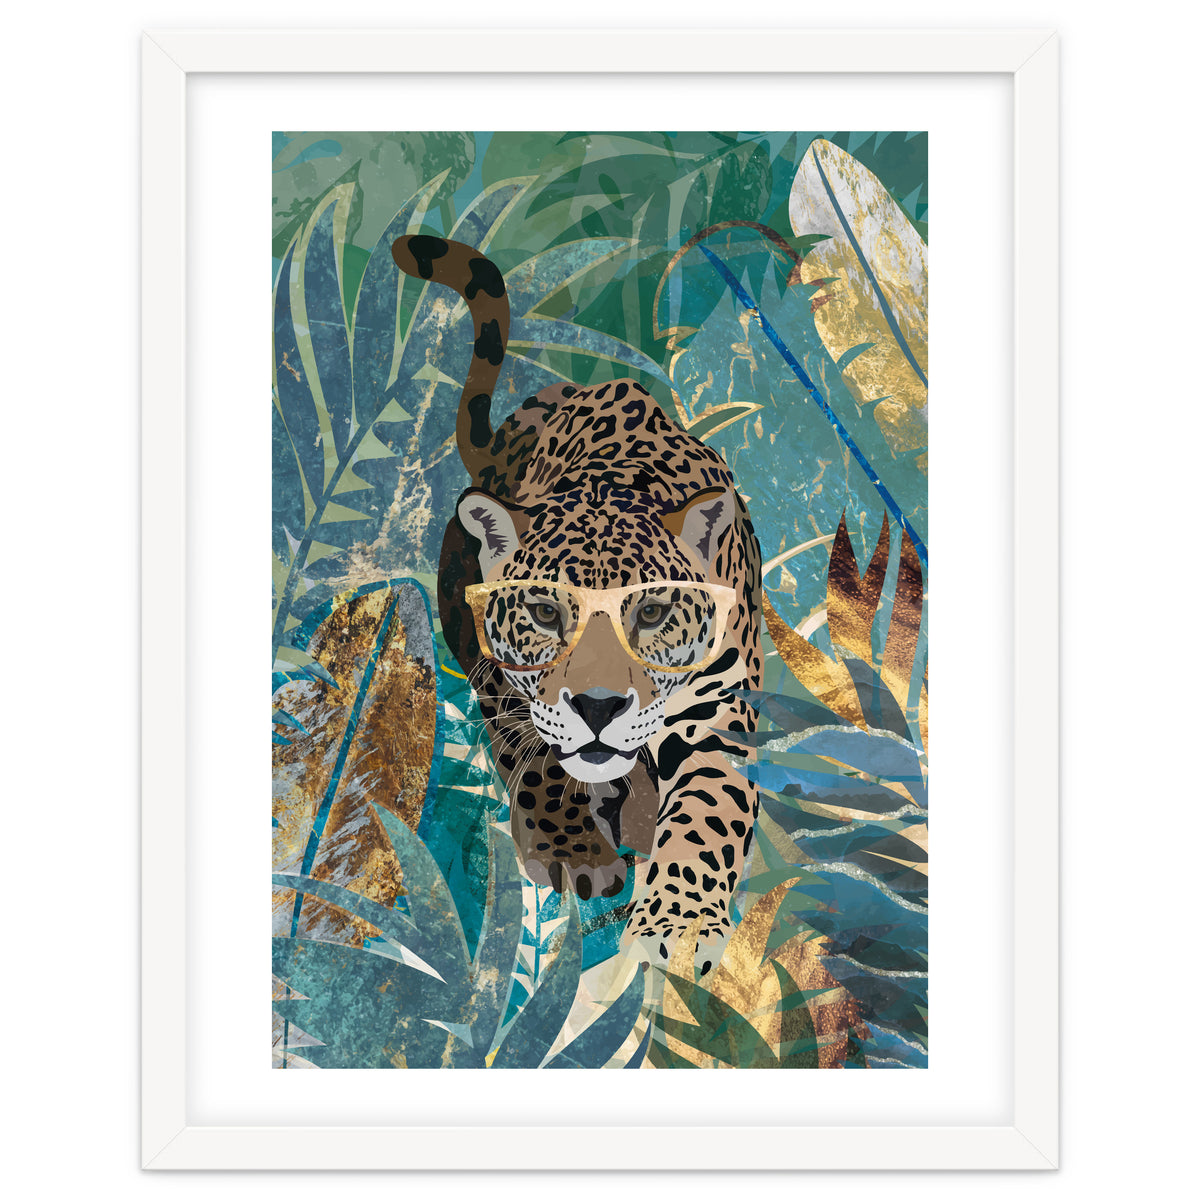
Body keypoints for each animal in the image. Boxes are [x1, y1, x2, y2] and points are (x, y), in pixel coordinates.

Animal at [392, 233, 763, 974]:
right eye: (544, 613)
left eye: (650, 613)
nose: (597, 707)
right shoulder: (500, 675)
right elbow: (534, 757)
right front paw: (572, 851)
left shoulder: (717, 713)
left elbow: (707, 811)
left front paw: (678, 924)